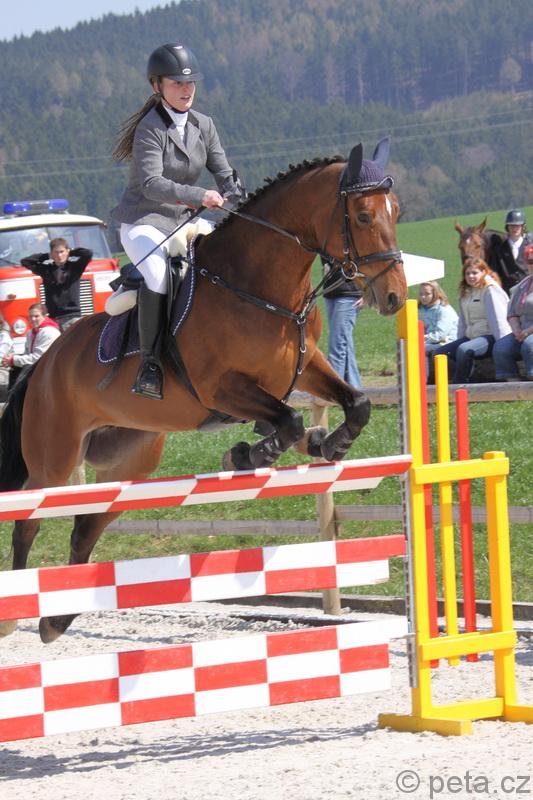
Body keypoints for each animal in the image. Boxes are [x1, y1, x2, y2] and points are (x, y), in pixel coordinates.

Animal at [0, 138, 407, 643]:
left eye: (396, 211)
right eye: (365, 216)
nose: (393, 297)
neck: (257, 286)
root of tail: (41, 363)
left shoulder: (305, 366)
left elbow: (357, 404)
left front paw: (327, 444)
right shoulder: (220, 388)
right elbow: (288, 419)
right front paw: (249, 453)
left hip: (131, 462)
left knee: (85, 528)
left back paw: (57, 620)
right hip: (53, 460)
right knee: (27, 524)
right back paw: (17, 613)